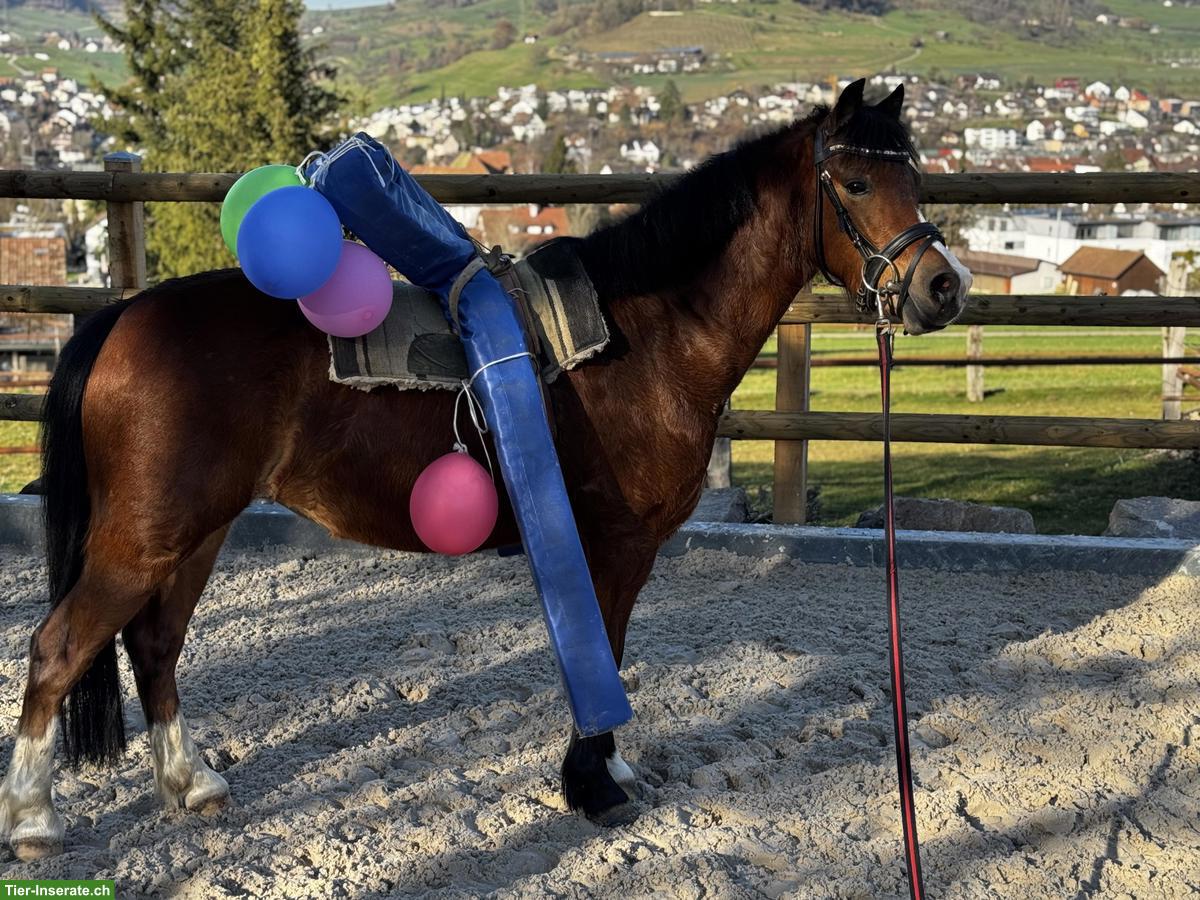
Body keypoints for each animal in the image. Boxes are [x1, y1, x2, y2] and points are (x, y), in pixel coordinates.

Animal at [0, 78, 969, 859]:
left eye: (916, 178)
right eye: (854, 182)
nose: (943, 287)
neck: (652, 331)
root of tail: (125, 315)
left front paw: (607, 773)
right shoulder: (616, 546)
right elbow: (604, 650)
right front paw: (595, 783)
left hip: (192, 532)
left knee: (155, 645)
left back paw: (192, 784)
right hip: (146, 536)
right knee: (58, 647)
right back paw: (36, 821)